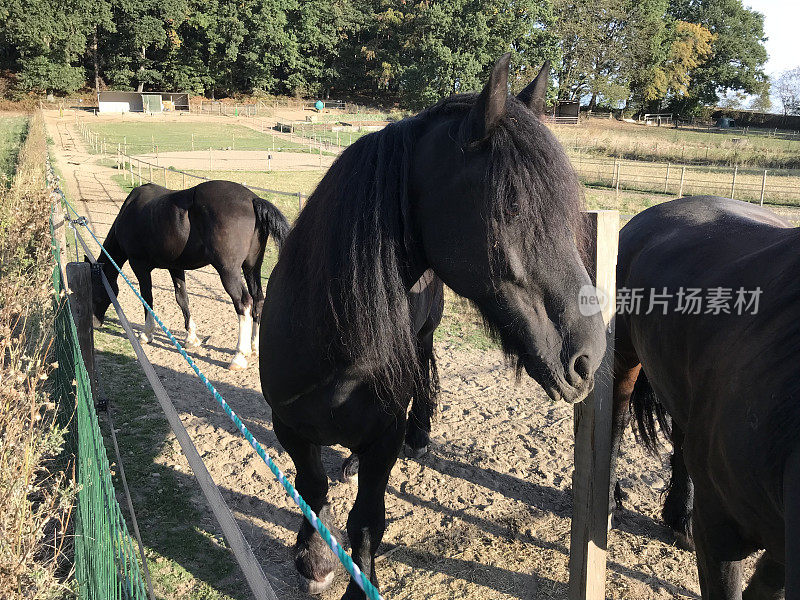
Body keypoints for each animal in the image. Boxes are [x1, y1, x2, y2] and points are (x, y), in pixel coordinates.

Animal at [89, 178, 290, 368]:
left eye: (95, 291)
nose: (94, 323)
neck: (130, 210)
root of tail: (251, 199)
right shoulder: (175, 267)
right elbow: (182, 298)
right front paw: (191, 337)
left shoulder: (139, 266)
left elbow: (147, 298)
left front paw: (146, 334)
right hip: (251, 268)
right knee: (258, 300)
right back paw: (254, 347)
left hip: (229, 271)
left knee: (244, 302)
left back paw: (239, 355)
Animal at [260, 54, 604, 596]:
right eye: (510, 206)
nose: (589, 357)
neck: (331, 350)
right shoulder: (288, 425)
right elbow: (312, 489)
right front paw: (314, 559)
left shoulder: (382, 437)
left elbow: (366, 521)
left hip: (420, 339)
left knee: (423, 367)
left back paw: (417, 432)